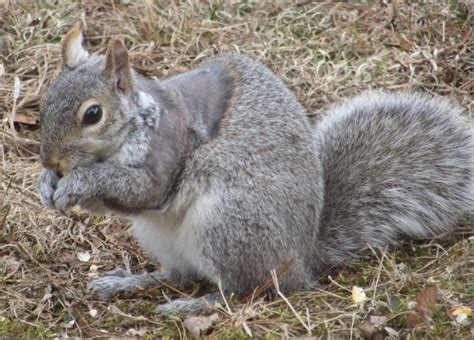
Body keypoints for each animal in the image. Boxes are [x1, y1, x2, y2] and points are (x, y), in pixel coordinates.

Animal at [38, 23, 474, 314]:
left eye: (92, 114)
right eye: (44, 102)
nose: (51, 161)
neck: (138, 119)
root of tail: (302, 260)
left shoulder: (166, 157)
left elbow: (141, 191)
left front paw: (79, 182)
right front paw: (47, 185)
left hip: (229, 227)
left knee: (241, 291)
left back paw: (195, 306)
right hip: (163, 238)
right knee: (180, 275)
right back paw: (130, 282)